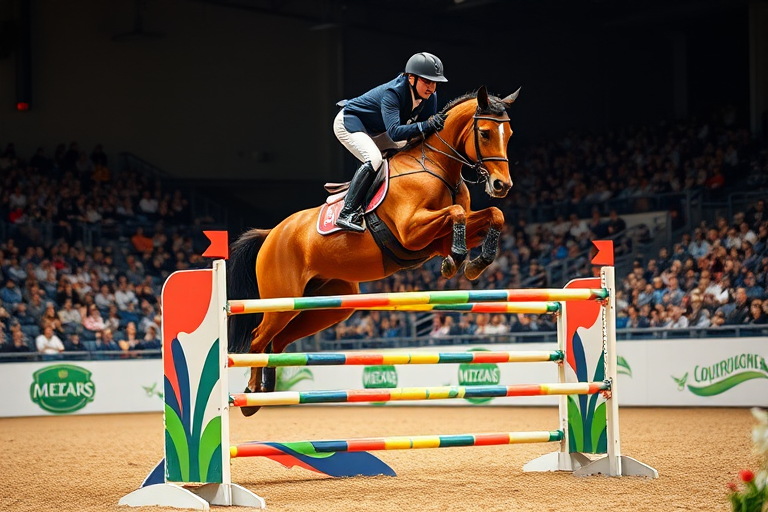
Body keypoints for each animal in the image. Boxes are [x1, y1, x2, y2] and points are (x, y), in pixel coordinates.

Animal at [228, 85, 519, 416]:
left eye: (508, 133)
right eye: (484, 133)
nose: (502, 185)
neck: (437, 167)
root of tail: (272, 233)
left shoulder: (438, 238)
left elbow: (494, 214)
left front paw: (474, 263)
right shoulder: (411, 232)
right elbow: (456, 212)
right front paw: (457, 260)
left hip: (326, 304)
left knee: (278, 342)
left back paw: (267, 392)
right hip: (280, 301)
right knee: (258, 339)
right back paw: (251, 396)